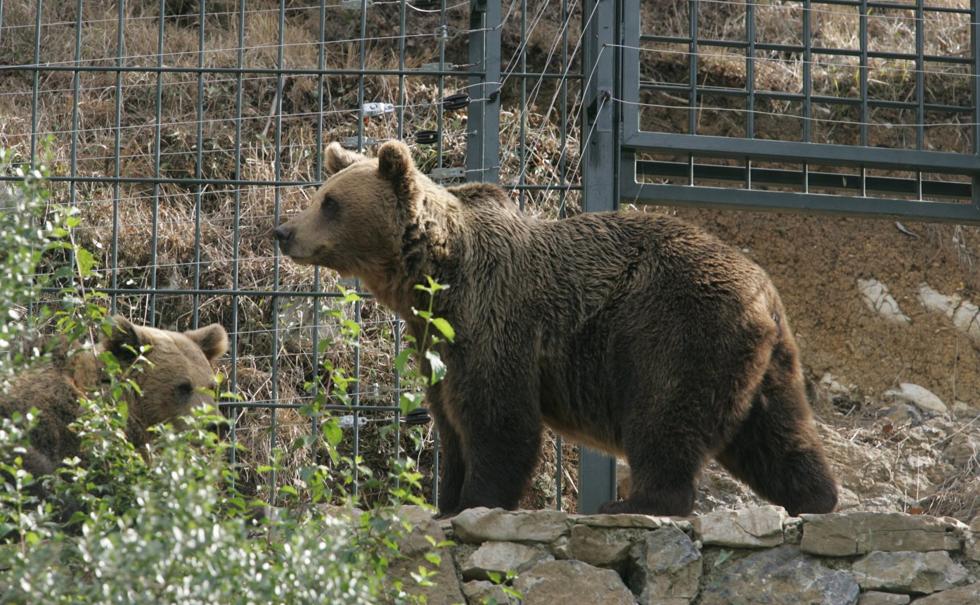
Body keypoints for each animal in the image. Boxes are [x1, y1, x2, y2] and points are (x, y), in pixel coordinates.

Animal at [274, 140, 836, 516]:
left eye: (330, 203)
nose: (283, 230)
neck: (434, 278)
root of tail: (763, 288)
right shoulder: (438, 342)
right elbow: (449, 421)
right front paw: (447, 501)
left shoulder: (494, 319)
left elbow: (497, 417)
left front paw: (477, 500)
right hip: (759, 359)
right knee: (778, 432)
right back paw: (816, 498)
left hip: (676, 329)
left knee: (665, 416)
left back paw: (636, 504)